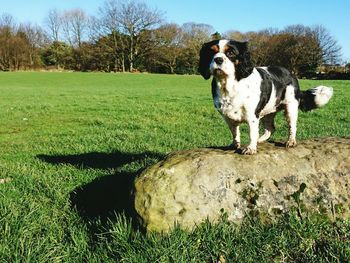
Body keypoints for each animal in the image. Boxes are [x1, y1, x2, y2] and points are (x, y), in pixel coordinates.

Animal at [200, 39, 334, 155]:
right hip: (267, 112)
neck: (229, 85)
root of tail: (291, 74)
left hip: (290, 108)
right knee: (271, 128)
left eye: (231, 53)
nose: (218, 59)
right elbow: (235, 132)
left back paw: (290, 141)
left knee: (292, 126)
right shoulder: (228, 117)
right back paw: (260, 140)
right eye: (211, 52)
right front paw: (235, 144)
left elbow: (252, 133)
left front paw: (250, 148)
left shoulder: (252, 115)